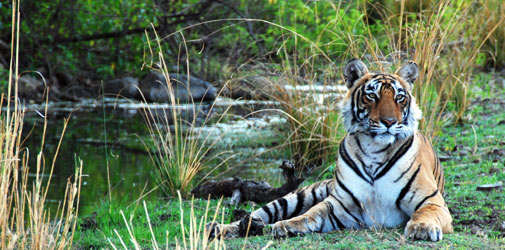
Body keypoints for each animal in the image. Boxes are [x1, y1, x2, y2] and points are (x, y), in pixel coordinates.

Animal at [209, 59, 452, 242]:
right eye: (372, 96)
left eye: (399, 97)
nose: (389, 122)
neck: (375, 149)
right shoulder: (339, 205)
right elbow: (311, 213)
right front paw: (286, 225)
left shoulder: (431, 201)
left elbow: (423, 213)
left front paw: (422, 228)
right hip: (295, 197)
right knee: (258, 213)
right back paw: (222, 228)